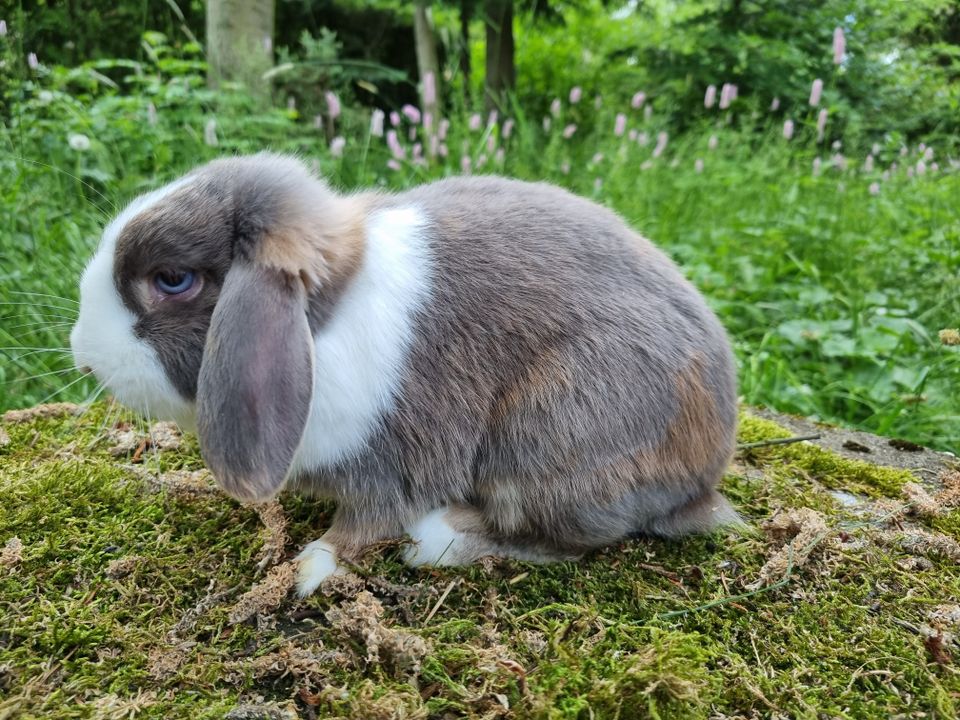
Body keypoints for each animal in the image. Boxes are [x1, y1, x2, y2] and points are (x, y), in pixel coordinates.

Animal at [71, 152, 740, 596]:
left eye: (172, 280)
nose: (82, 352)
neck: (321, 325)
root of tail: (705, 474)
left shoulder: (394, 463)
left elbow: (364, 525)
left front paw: (309, 569)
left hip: (551, 435)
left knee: (571, 537)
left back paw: (440, 539)